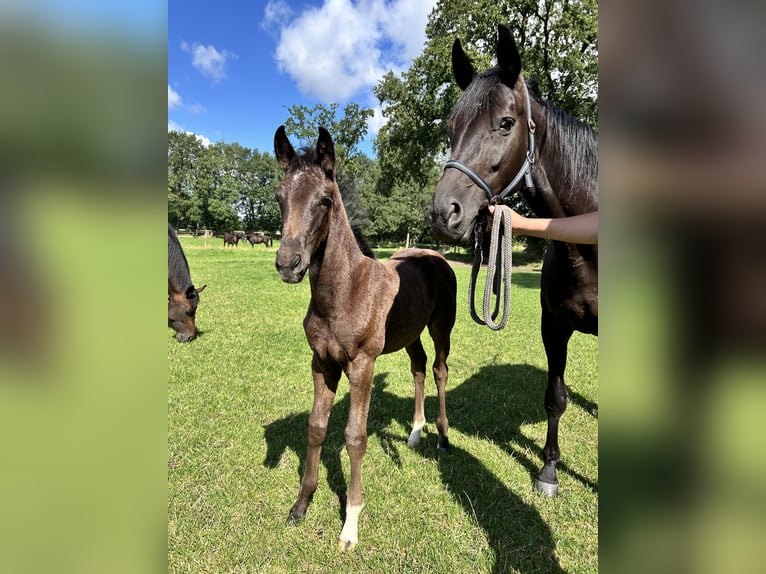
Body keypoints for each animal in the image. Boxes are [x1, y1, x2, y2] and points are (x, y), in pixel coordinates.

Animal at [274, 127, 460, 552]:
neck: (343, 292)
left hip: (441, 326)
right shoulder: (322, 363)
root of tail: (436, 256)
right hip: (409, 333)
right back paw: (414, 434)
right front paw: (300, 505)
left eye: (325, 199)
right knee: (419, 367)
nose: (288, 264)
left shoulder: (362, 366)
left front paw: (350, 524)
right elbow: (316, 427)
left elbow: (354, 437)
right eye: (279, 196)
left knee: (439, 370)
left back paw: (442, 437)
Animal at [432, 24, 600, 498]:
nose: (444, 213)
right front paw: (548, 470)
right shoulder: (554, 327)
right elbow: (555, 398)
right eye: (450, 127)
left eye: (505, 123)